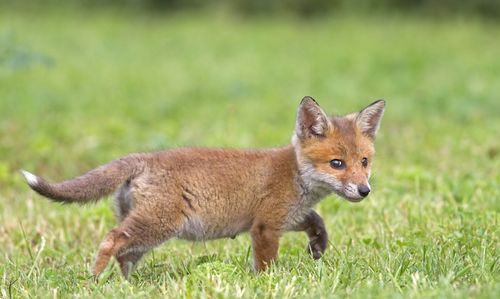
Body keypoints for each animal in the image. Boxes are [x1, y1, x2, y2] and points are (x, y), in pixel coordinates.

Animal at [21, 98, 384, 278]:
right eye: (337, 164)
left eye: (364, 161)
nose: (364, 190)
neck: (295, 174)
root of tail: (144, 158)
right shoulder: (266, 225)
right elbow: (266, 263)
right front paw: (266, 283)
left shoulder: (287, 217)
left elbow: (317, 222)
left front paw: (318, 247)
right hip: (157, 224)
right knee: (111, 240)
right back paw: (95, 281)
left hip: (147, 232)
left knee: (125, 254)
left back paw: (126, 286)